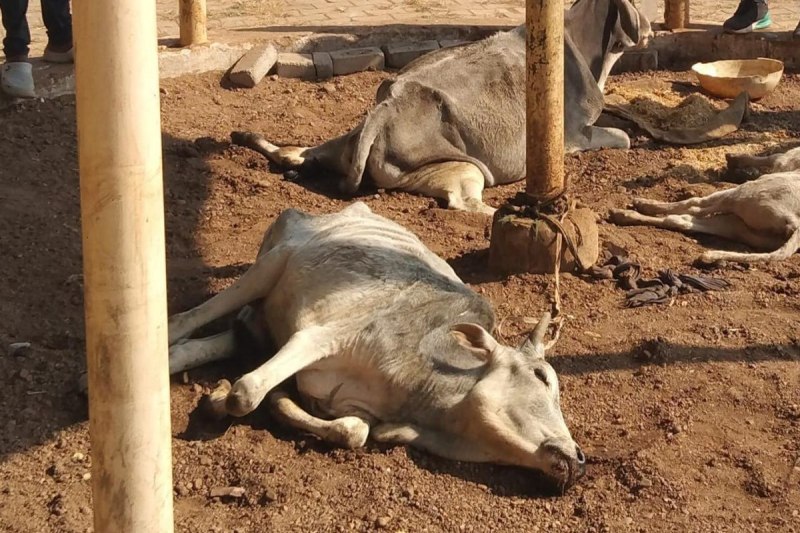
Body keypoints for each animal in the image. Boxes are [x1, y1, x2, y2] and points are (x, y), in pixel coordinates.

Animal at [167, 202, 586, 490]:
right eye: (542, 376)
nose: (580, 458)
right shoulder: (316, 337)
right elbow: (247, 393)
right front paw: (227, 399)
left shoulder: (357, 408)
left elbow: (354, 432)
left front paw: (266, 400)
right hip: (271, 265)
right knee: (188, 319)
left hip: (263, 318)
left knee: (220, 340)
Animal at [230, 0, 652, 215]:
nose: (650, 29)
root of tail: (388, 105)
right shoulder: (574, 135)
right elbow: (623, 137)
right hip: (464, 169)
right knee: (467, 205)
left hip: (337, 142)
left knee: (294, 153)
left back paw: (246, 136)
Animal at [609, 146, 800, 264]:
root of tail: (794, 224)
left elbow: (775, 157)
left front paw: (735, 158)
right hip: (747, 228)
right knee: (686, 221)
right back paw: (623, 215)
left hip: (747, 193)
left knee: (691, 208)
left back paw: (639, 205)